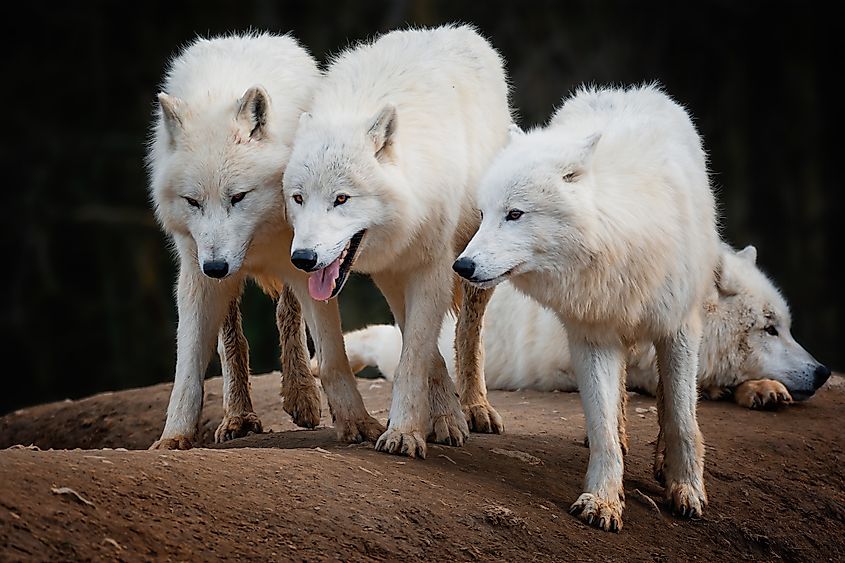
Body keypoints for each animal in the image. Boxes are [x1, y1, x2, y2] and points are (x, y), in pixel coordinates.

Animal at [146, 33, 384, 450]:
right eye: (193, 201)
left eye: (238, 196)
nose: (216, 267)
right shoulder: (196, 270)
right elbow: (188, 368)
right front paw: (174, 436)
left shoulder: (309, 262)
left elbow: (332, 355)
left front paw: (356, 421)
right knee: (232, 341)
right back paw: (238, 416)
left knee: (287, 315)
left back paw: (301, 396)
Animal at [282, 25, 512, 459]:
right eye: (298, 198)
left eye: (341, 199)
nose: (303, 259)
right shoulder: (391, 270)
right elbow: (421, 351)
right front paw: (441, 420)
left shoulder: (432, 266)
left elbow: (415, 356)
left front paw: (406, 432)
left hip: (479, 263)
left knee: (469, 333)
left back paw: (477, 408)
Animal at [454, 84, 720, 531]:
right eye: (484, 214)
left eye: (515, 214)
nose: (462, 266)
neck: (618, 240)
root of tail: (624, 90)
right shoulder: (592, 335)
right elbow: (601, 428)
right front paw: (604, 499)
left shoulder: (679, 327)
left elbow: (683, 419)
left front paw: (686, 488)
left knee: (671, 404)